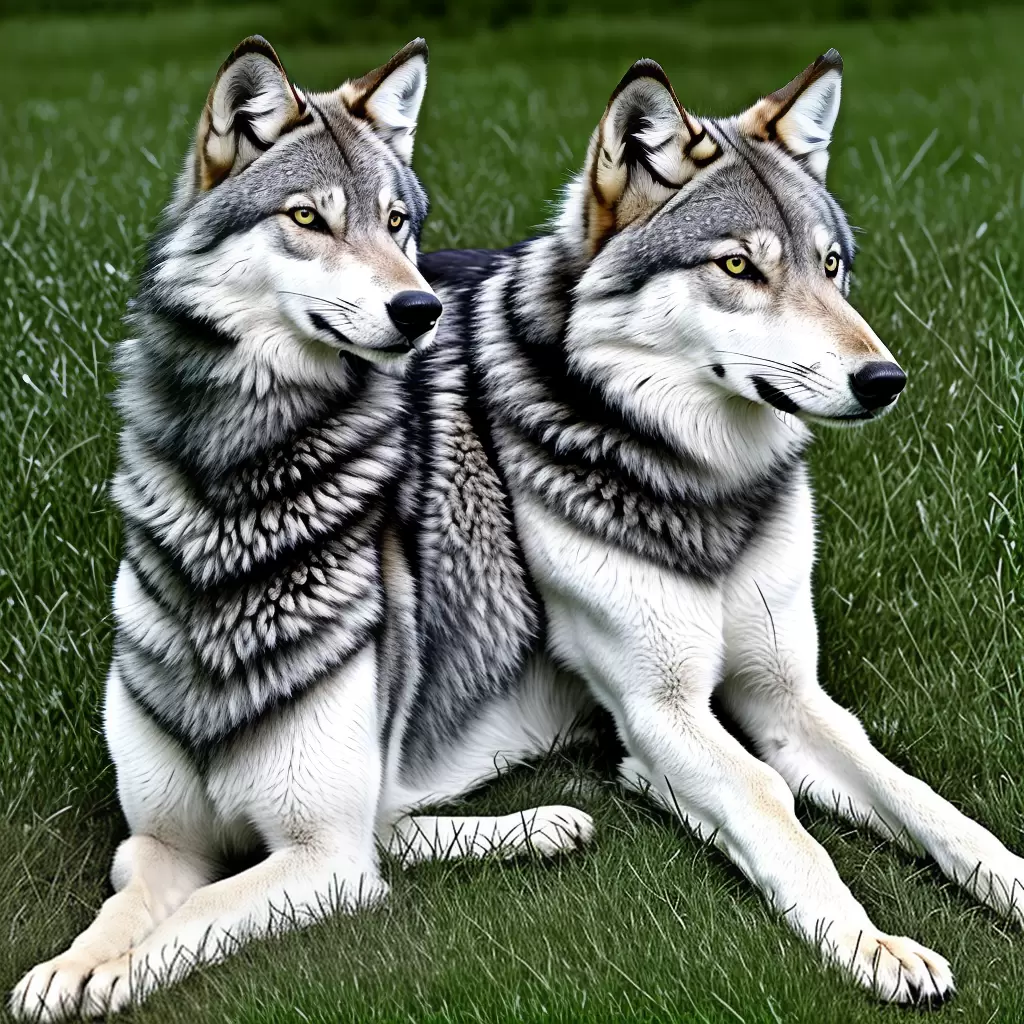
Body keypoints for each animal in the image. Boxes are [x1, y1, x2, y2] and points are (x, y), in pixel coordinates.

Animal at [11, 36, 591, 1022]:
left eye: (395, 222)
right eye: (309, 219)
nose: (422, 309)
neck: (235, 505)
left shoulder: (321, 859)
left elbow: (199, 912)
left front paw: (113, 976)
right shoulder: (159, 841)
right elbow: (126, 906)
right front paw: (71, 966)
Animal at [399, 52, 1024, 1003]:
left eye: (831, 266)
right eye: (737, 265)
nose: (885, 380)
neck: (704, 484)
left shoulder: (790, 694)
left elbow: (923, 800)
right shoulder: (661, 711)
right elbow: (774, 806)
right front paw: (873, 942)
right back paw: (545, 824)